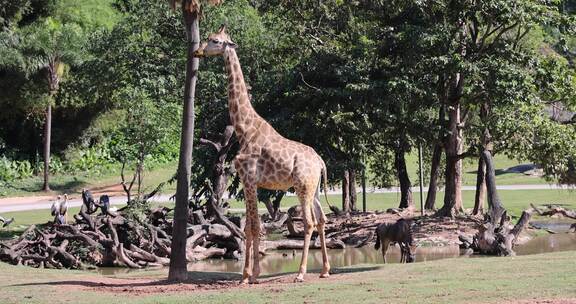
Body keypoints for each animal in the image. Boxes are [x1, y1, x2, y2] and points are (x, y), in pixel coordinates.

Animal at [194, 25, 328, 284]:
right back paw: (325, 270)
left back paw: (301, 273)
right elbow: (249, 227)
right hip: (314, 188)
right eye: (207, 38)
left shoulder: (248, 180)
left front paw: (249, 275)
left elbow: (254, 227)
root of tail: (320, 161)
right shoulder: (252, 183)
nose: (197, 51)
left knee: (308, 223)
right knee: (322, 219)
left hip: (302, 186)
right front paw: (249, 274)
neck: (244, 129)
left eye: (215, 40)